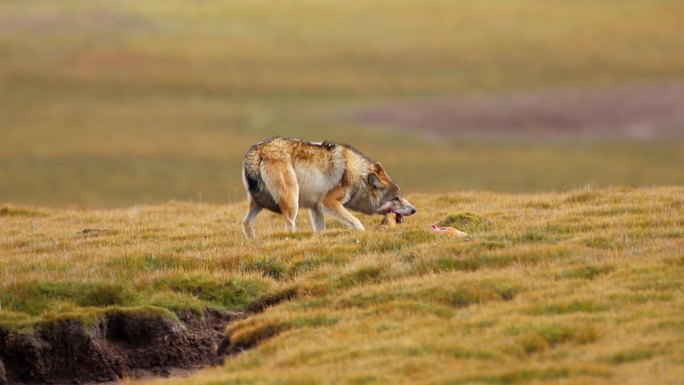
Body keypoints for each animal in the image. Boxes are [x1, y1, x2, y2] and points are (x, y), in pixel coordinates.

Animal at [243, 135, 420, 237]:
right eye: (396, 198)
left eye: (400, 196)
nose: (414, 210)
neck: (357, 175)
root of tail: (257, 150)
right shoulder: (328, 202)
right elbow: (357, 222)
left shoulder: (315, 207)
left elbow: (320, 230)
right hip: (292, 202)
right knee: (287, 226)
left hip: (259, 202)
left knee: (245, 222)